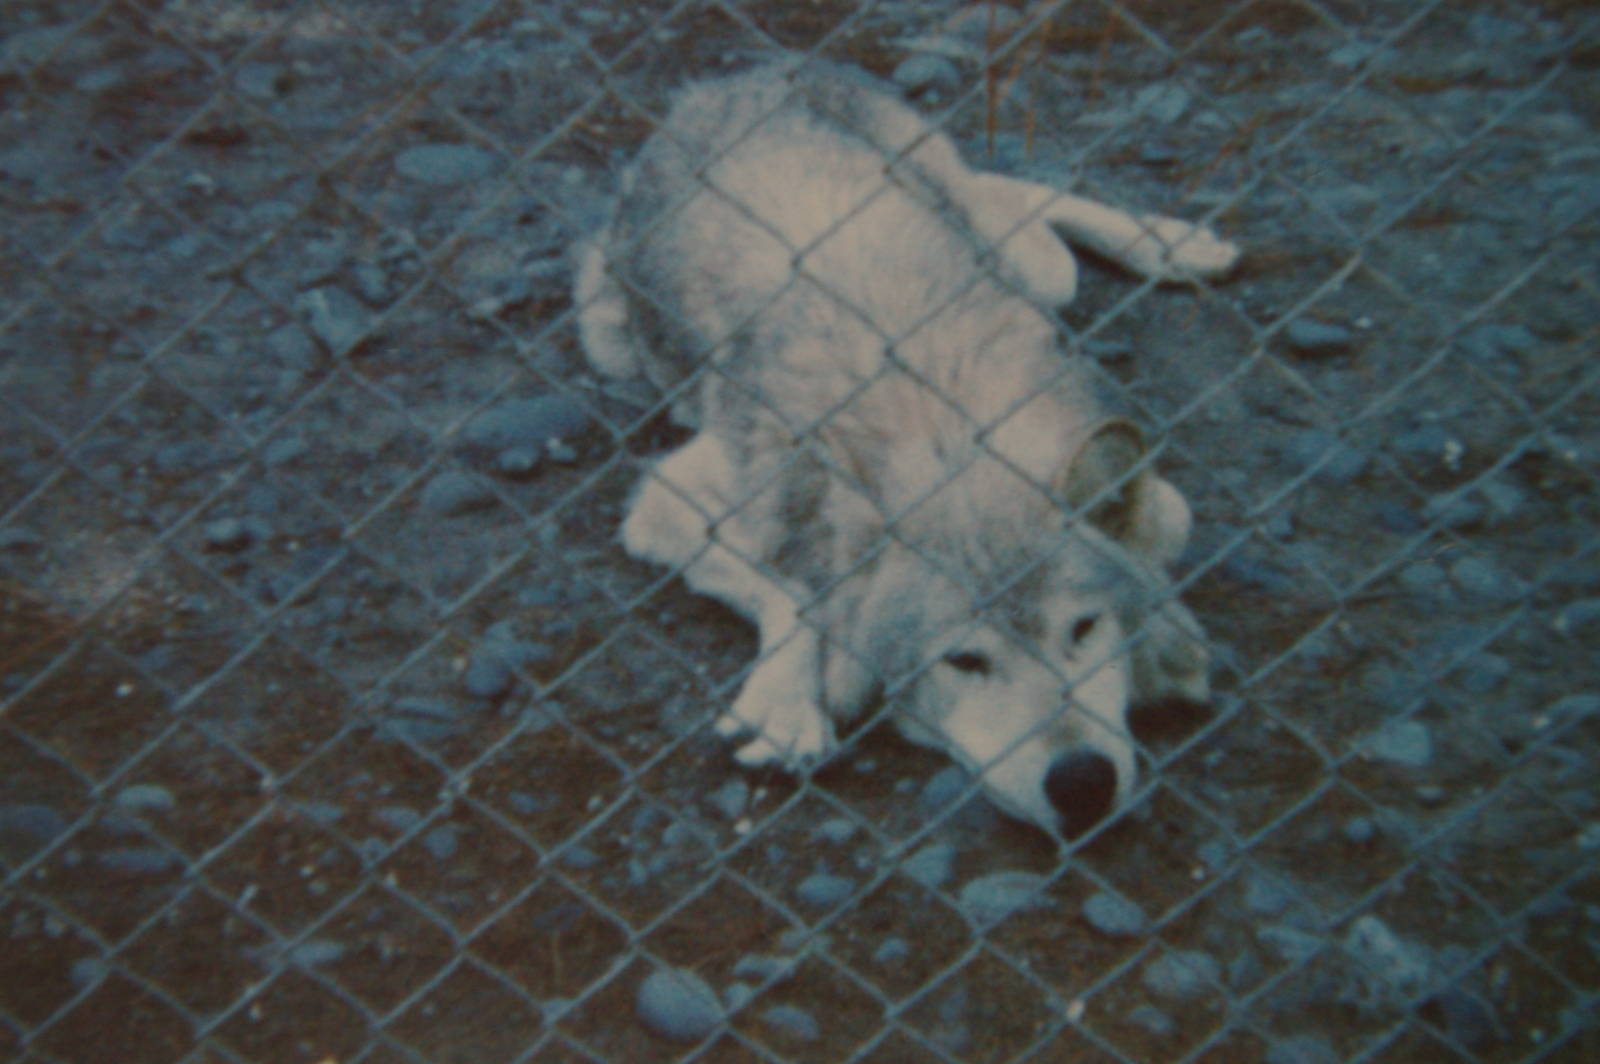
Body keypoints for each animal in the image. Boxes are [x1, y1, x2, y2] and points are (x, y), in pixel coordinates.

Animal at [573, 58, 1235, 838]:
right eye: (964, 662)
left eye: (1083, 628)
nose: (1082, 782)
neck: (944, 424)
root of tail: (743, 75)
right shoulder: (667, 499)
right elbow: (795, 590)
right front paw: (787, 699)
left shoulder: (1156, 492)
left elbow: (1162, 544)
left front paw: (1165, 634)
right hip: (605, 336)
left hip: (1036, 270)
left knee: (1009, 192)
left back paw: (1173, 244)